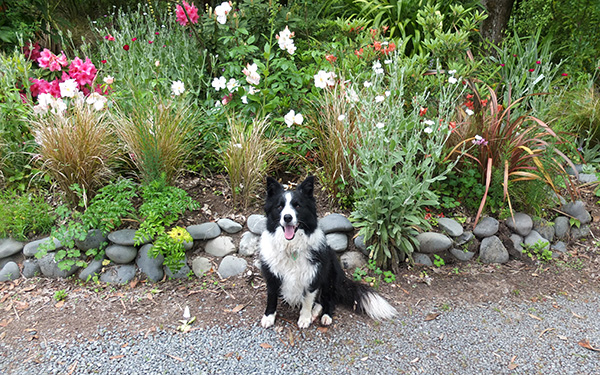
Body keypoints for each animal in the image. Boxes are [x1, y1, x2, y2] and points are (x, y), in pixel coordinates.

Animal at [258, 176, 396, 328]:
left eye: (298, 206)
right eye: (279, 207)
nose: (287, 217)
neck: (291, 247)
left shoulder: (313, 276)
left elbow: (307, 301)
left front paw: (304, 318)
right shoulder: (272, 275)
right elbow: (271, 297)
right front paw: (269, 317)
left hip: (330, 275)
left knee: (328, 300)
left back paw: (323, 316)